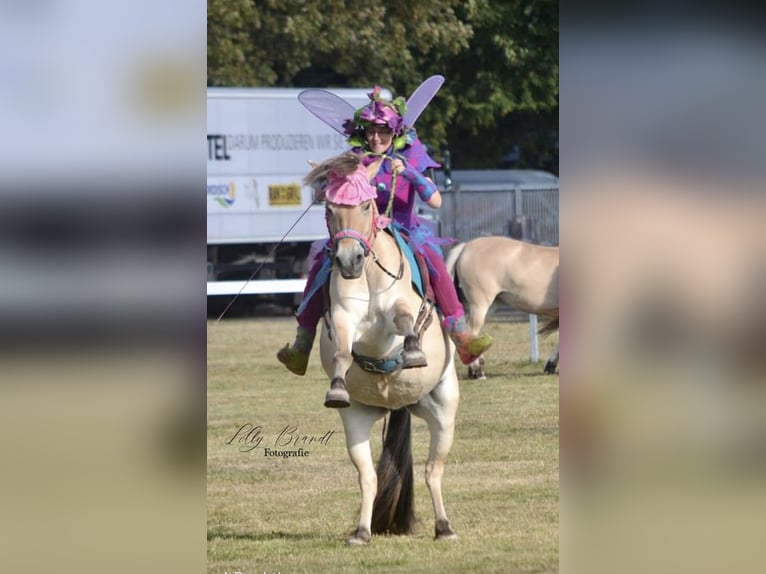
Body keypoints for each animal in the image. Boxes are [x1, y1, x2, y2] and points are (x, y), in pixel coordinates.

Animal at [314, 155, 462, 548]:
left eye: (367, 206)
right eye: (329, 208)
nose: (349, 260)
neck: (367, 274)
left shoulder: (398, 307)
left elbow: (406, 318)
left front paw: (412, 352)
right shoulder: (343, 317)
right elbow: (343, 349)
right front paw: (337, 385)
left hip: (443, 412)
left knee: (433, 471)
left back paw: (445, 527)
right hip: (356, 419)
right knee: (368, 477)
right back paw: (362, 531)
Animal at [444, 236, 560, 380]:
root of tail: (465, 247)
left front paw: (551, 366)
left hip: (491, 306)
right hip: (479, 305)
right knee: (471, 332)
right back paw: (477, 371)